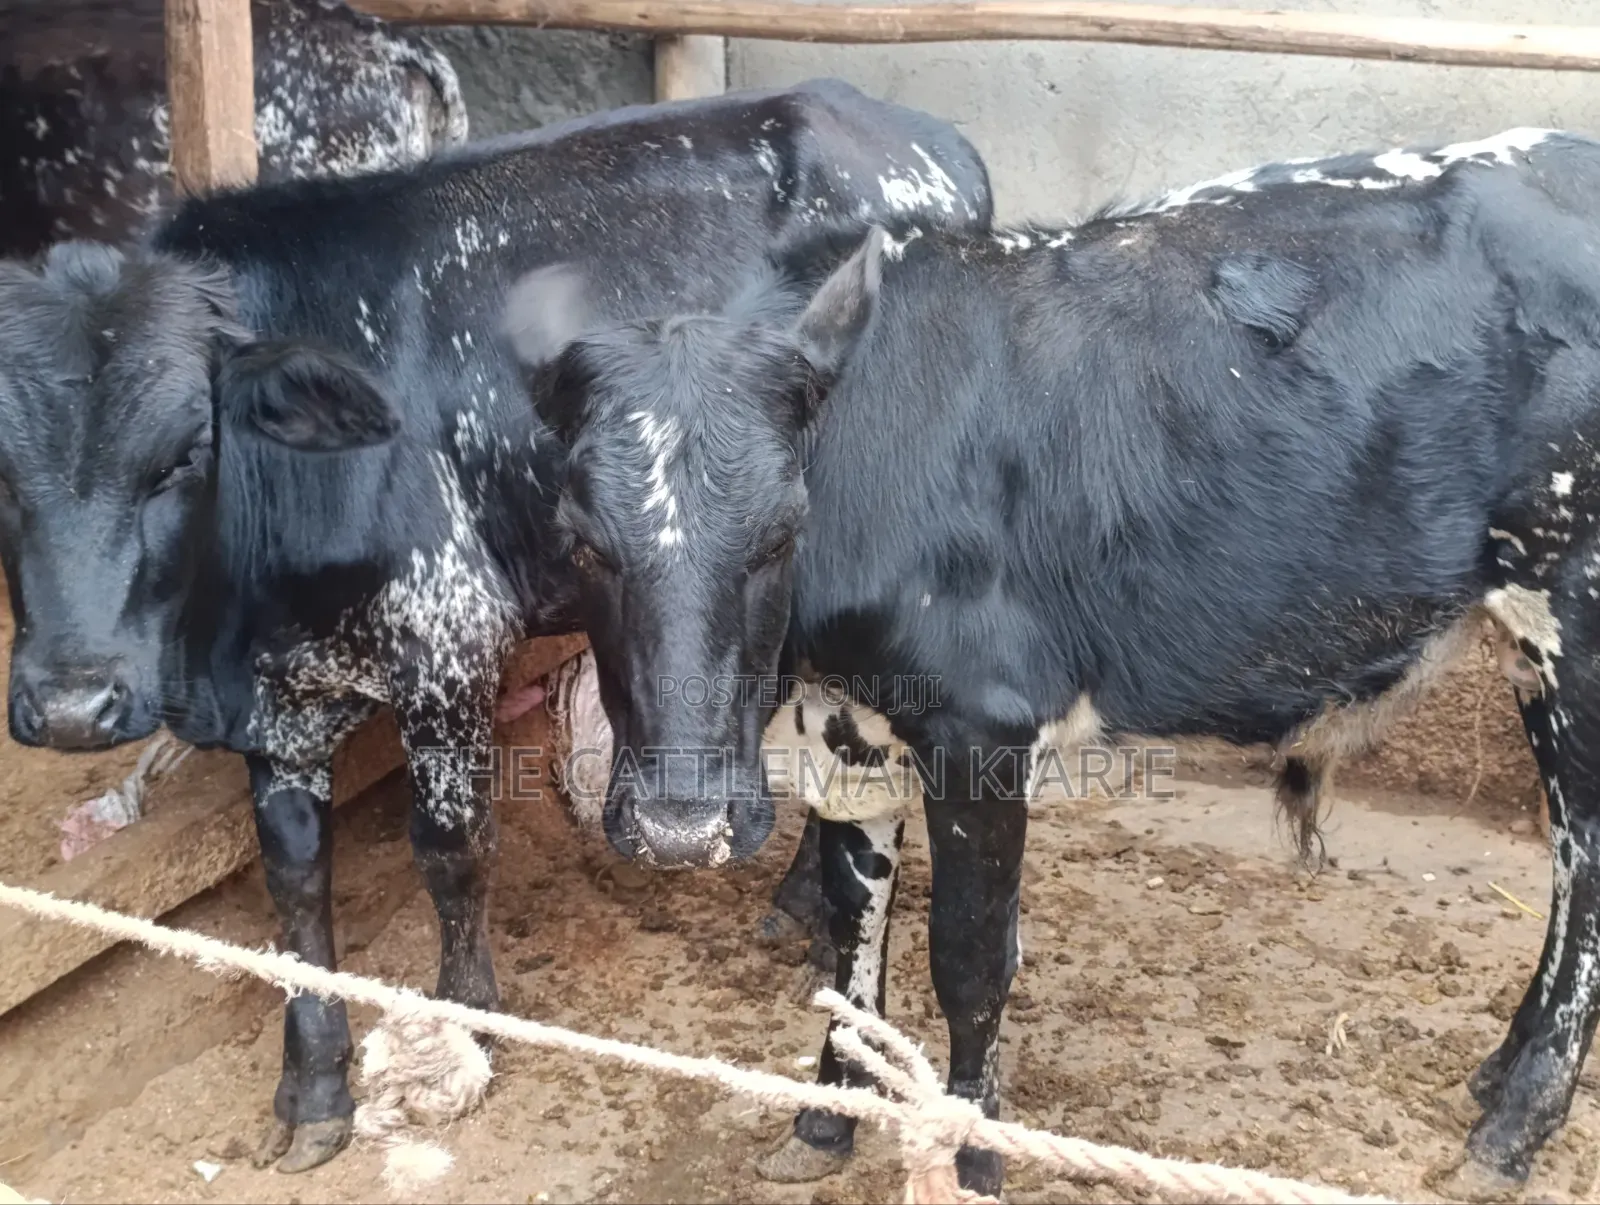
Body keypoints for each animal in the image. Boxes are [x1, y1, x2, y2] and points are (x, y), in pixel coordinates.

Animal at [0, 79, 992, 1172]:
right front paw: (312, 1087)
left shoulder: (446, 642)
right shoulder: (281, 706)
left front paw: (467, 1021)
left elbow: (452, 847)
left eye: (183, 450)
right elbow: (294, 881)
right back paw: (801, 901)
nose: (74, 704)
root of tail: (910, 129)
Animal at [500, 127, 1600, 1199]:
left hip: (1574, 622)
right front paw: (827, 1114)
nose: (678, 826)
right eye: (583, 539)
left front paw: (974, 1144)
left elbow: (970, 952)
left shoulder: (981, 728)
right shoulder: (850, 730)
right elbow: (853, 932)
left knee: (1580, 862)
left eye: (780, 531)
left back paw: (1513, 1121)